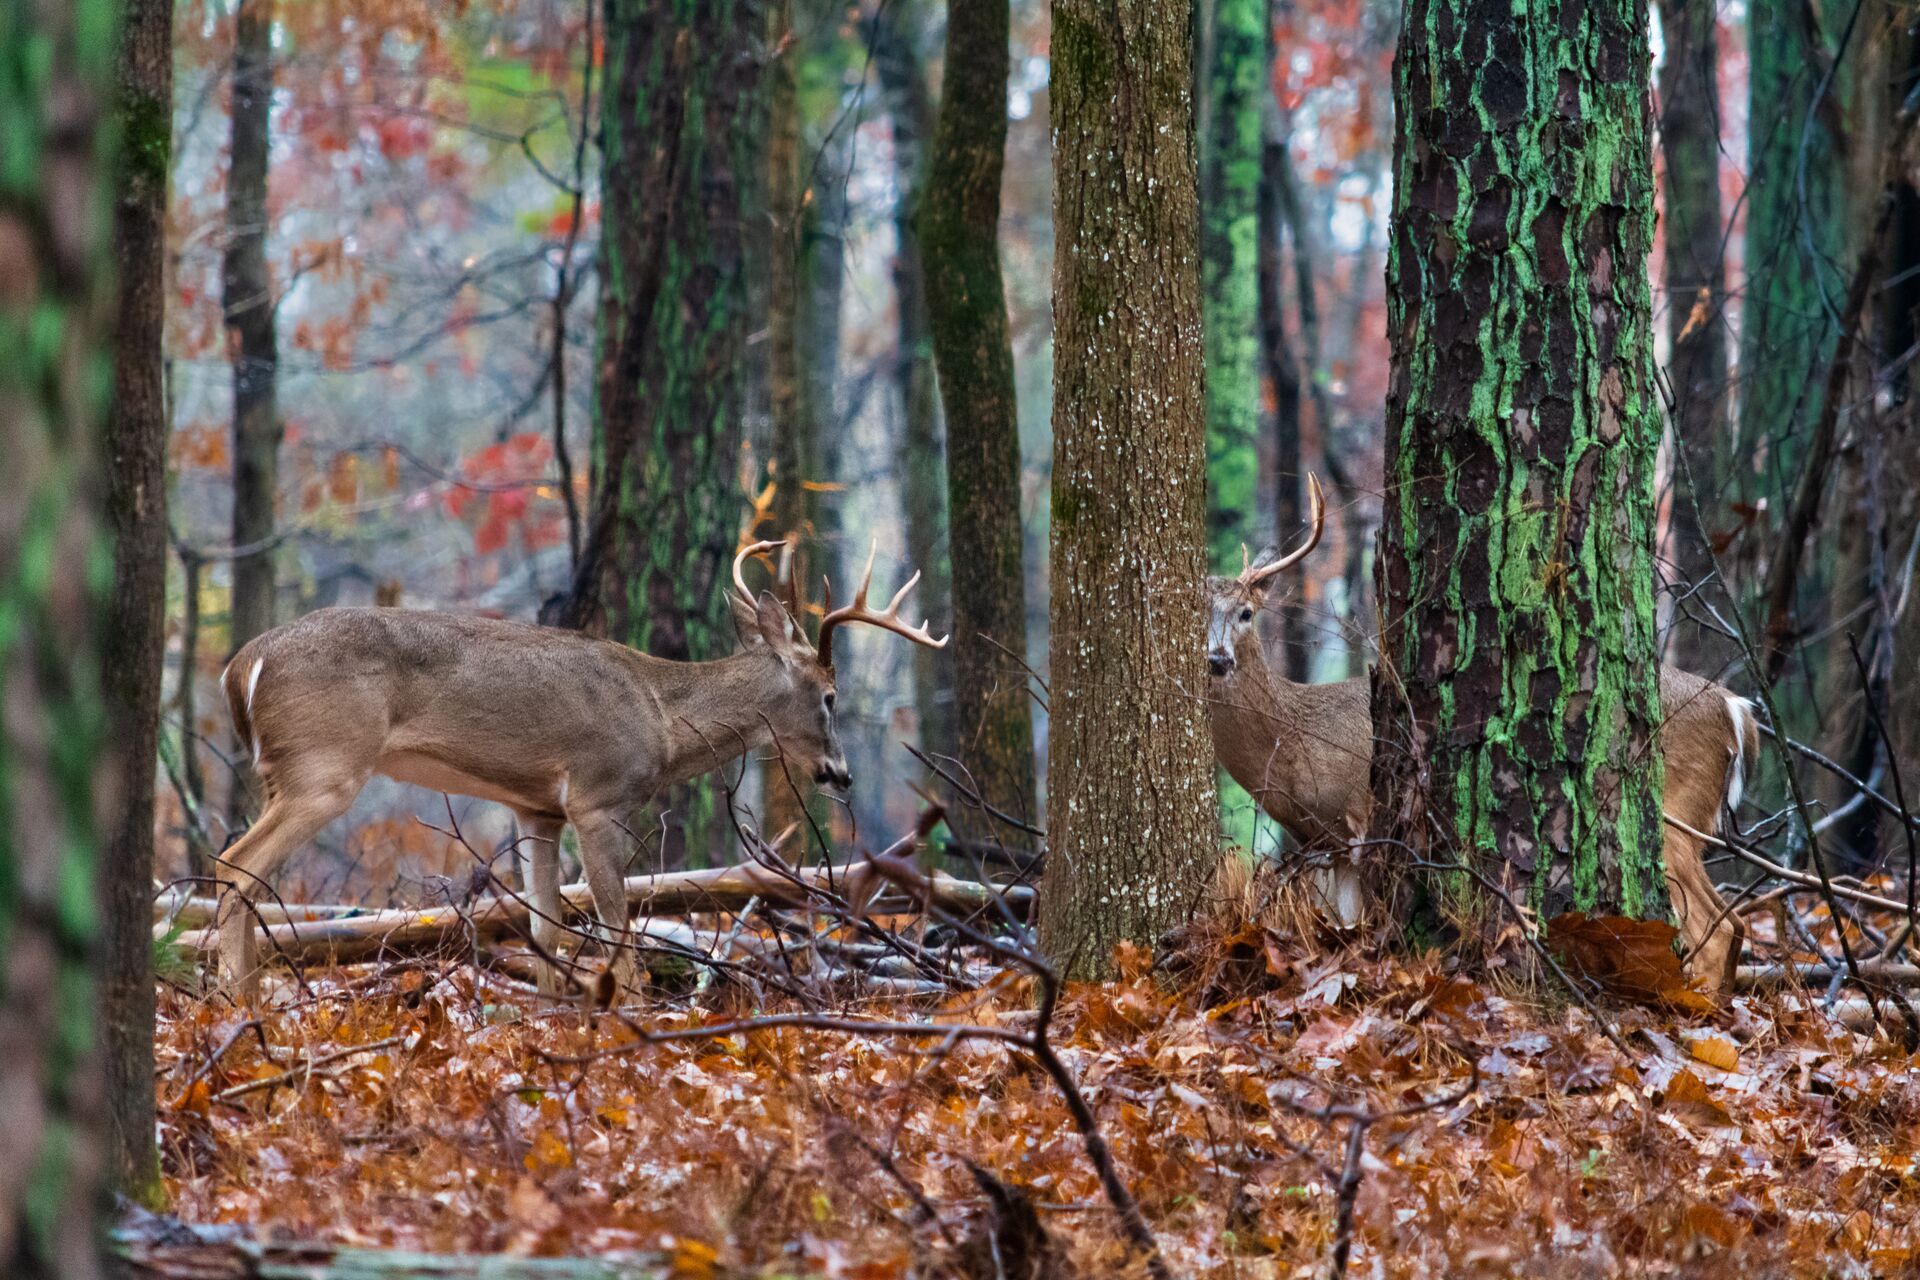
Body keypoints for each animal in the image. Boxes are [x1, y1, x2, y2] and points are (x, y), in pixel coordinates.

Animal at [212, 537, 944, 997]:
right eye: (830, 695)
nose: (840, 774)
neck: (660, 715)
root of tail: (241, 665)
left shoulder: (536, 808)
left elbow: (544, 928)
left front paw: (551, 1020)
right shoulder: (597, 796)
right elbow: (617, 929)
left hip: (281, 771)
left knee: (244, 874)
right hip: (326, 764)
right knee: (235, 865)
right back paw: (239, 1007)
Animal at [1205, 479, 1758, 990]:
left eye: (1246, 613)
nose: (1216, 659)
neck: (1295, 738)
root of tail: (1735, 708)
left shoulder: (1360, 817)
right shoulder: (1322, 842)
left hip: (1672, 811)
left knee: (1717, 926)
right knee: (1732, 922)